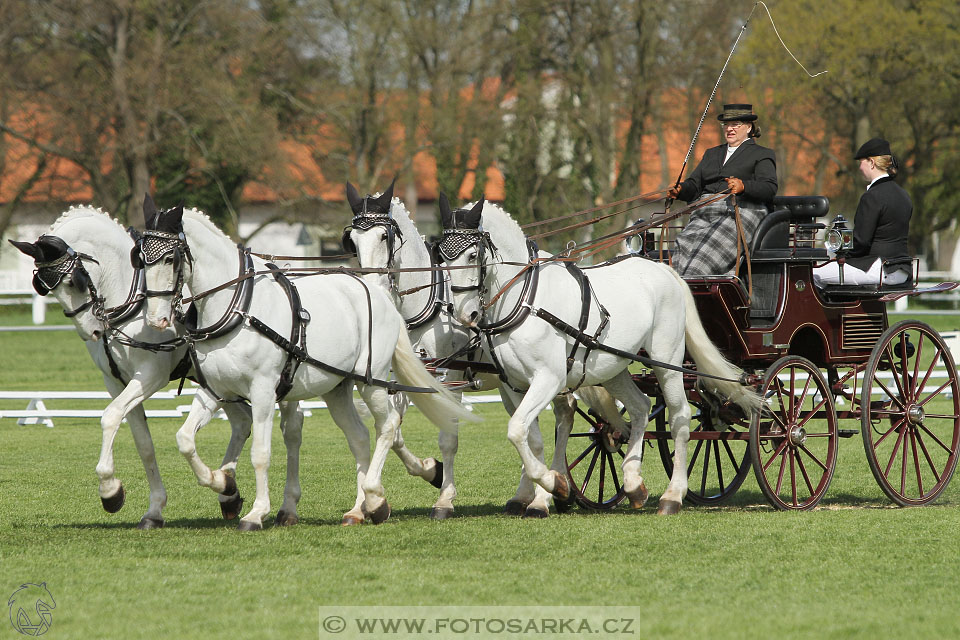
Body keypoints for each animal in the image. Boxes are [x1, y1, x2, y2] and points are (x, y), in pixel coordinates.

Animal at [8, 206, 255, 528]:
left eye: (75, 280)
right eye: (46, 288)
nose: (91, 331)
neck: (130, 300)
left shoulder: (150, 376)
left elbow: (110, 417)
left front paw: (109, 491)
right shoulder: (117, 382)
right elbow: (143, 443)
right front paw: (154, 510)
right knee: (242, 421)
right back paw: (228, 493)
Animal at [138, 198, 476, 528]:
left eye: (169, 259)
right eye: (140, 259)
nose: (156, 318)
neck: (238, 307)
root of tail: (381, 295)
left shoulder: (263, 391)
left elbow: (261, 453)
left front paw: (256, 513)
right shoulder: (215, 390)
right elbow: (184, 439)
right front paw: (224, 484)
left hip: (372, 382)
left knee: (388, 426)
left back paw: (377, 498)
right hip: (338, 387)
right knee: (359, 436)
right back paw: (361, 508)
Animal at [438, 198, 760, 512]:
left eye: (472, 255)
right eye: (442, 258)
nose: (465, 315)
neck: (525, 298)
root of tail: (665, 270)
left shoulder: (549, 379)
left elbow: (516, 429)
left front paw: (552, 486)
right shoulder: (515, 385)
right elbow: (529, 436)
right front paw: (551, 489)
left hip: (667, 361)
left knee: (679, 417)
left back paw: (673, 495)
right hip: (614, 367)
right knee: (640, 407)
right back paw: (633, 483)